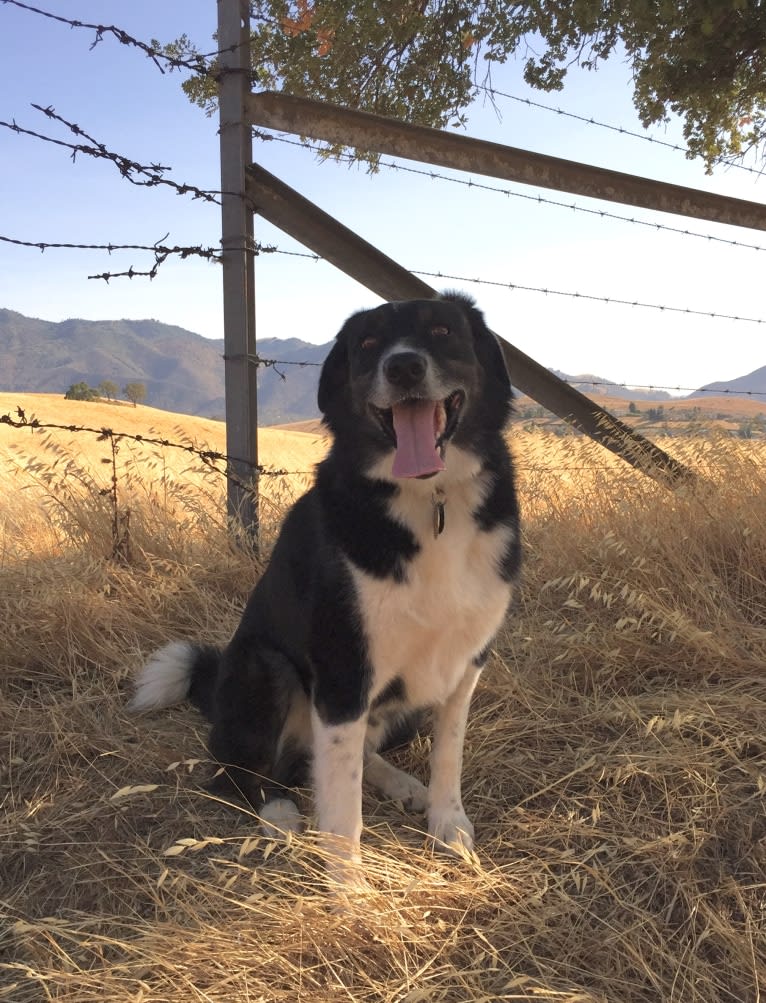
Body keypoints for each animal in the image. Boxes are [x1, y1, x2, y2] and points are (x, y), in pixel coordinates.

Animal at [130, 292, 521, 882]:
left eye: (441, 330)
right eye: (367, 344)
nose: (403, 366)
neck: (430, 504)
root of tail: (214, 687)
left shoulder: (464, 665)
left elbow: (447, 755)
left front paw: (447, 824)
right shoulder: (342, 669)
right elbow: (341, 804)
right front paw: (348, 885)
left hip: (406, 703)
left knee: (352, 753)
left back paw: (400, 782)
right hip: (263, 669)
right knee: (236, 771)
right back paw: (277, 813)